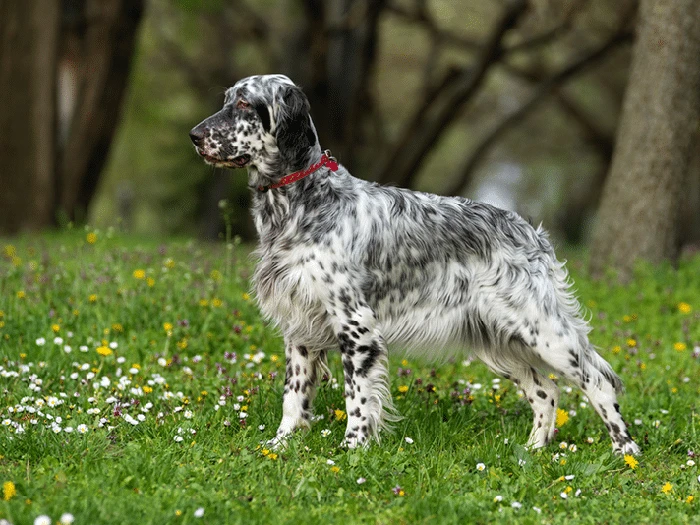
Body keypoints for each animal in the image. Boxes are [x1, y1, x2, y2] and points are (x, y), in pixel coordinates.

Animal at [191, 73, 640, 454]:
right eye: (227, 100)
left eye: (245, 104)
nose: (194, 136)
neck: (304, 202)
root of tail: (530, 230)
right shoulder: (299, 329)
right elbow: (294, 397)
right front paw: (280, 446)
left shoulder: (356, 326)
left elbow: (357, 398)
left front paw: (352, 450)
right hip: (497, 342)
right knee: (546, 391)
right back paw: (533, 451)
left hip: (544, 332)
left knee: (598, 380)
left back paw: (626, 452)